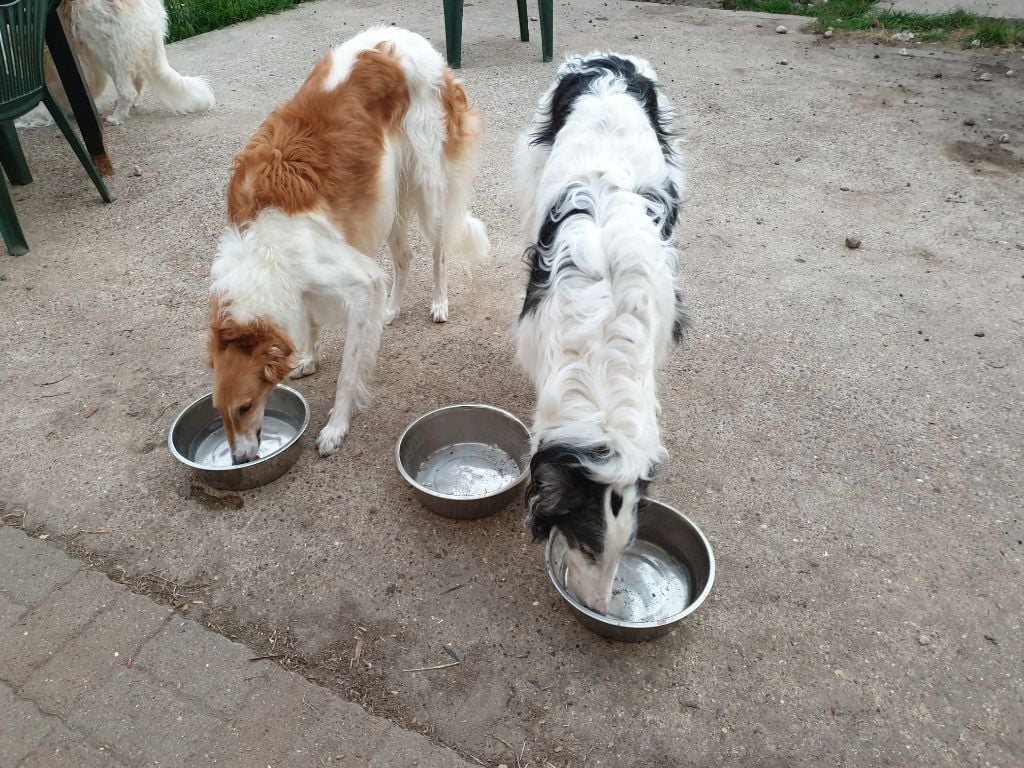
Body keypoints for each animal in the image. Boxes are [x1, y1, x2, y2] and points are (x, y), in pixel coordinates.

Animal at [207, 27, 487, 462]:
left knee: (438, 253)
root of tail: (411, 40)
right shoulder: (305, 283)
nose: (239, 459)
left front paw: (335, 429)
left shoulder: (357, 283)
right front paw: (307, 358)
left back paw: (439, 303)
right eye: (219, 412)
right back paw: (391, 309)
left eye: (246, 406)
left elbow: (346, 375)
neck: (262, 244)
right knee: (404, 257)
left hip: (428, 187)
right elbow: (309, 322)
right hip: (387, 194)